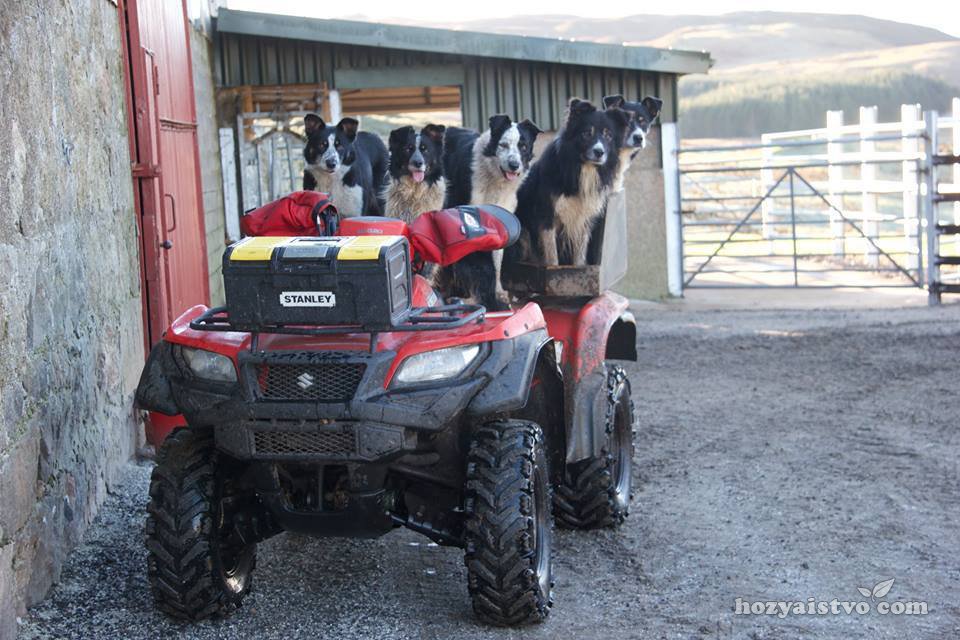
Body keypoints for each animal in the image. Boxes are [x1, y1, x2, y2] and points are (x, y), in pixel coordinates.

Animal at [438, 118, 544, 312]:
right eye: (503, 145)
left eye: (523, 146)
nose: (514, 165)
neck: (495, 179)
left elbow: (496, 262)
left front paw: (497, 294)